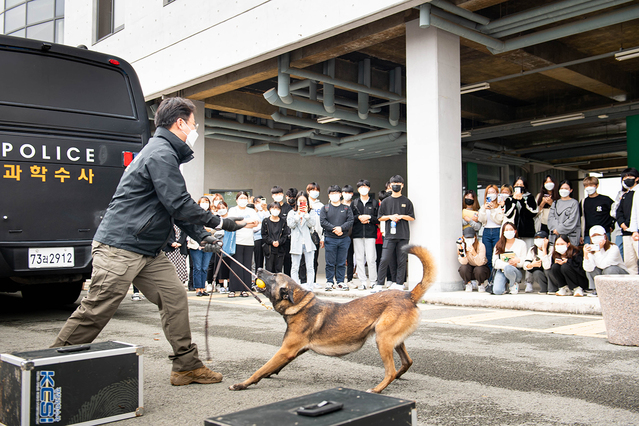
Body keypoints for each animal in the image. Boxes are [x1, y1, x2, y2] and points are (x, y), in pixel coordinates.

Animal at [232, 246, 438, 392]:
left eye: (274, 275)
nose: (258, 267)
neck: (299, 305)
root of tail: (409, 295)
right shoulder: (294, 351)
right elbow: (271, 367)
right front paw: (268, 374)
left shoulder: (286, 350)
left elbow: (260, 369)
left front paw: (241, 384)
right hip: (393, 340)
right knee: (406, 362)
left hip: (383, 339)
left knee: (391, 371)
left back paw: (377, 389)